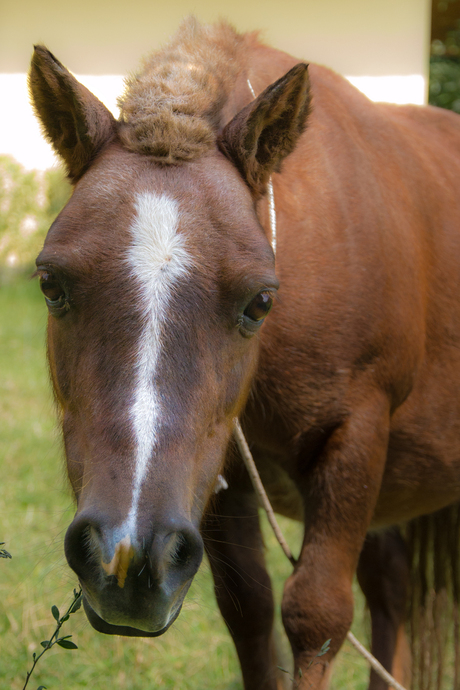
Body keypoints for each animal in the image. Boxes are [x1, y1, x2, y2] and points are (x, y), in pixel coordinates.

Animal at [29, 17, 460, 690]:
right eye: (51, 284)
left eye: (260, 302)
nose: (124, 556)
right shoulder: (216, 476)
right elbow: (250, 610)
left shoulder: (358, 439)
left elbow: (317, 614)